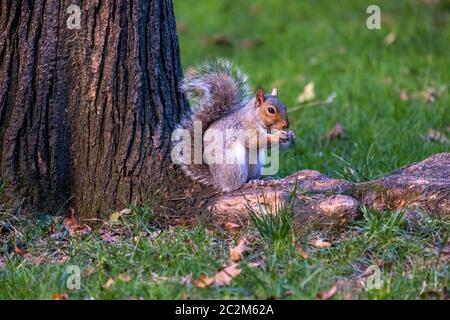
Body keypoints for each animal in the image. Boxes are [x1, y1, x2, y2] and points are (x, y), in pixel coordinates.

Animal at [175, 58, 296, 191]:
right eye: (271, 110)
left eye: (285, 106)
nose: (286, 125)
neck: (256, 118)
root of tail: (218, 181)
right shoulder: (245, 128)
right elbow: (255, 141)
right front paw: (278, 136)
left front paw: (290, 135)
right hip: (234, 164)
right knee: (235, 185)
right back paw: (248, 184)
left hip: (257, 164)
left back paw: (263, 179)